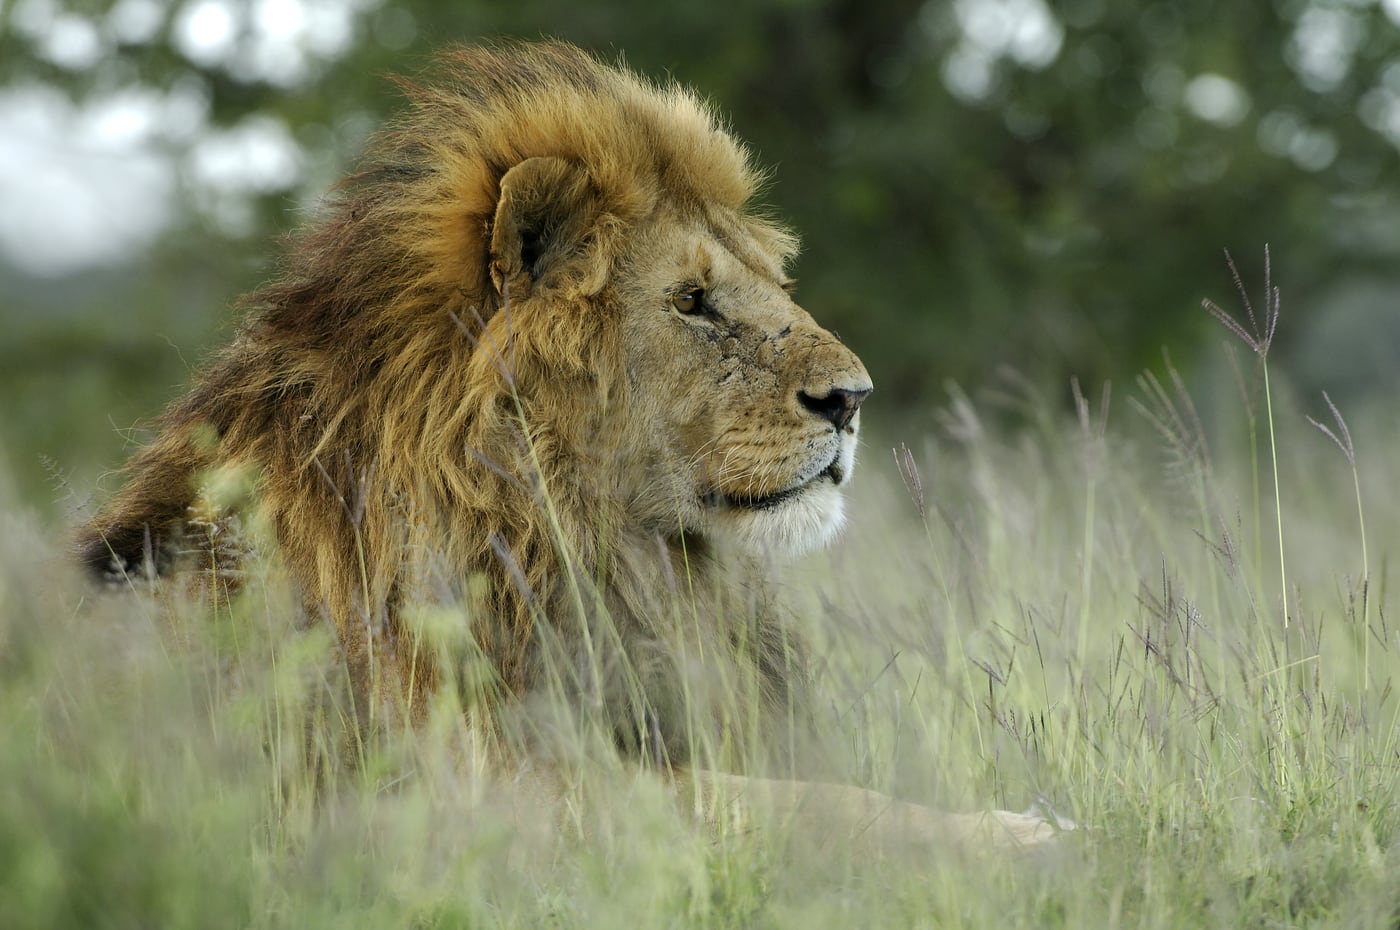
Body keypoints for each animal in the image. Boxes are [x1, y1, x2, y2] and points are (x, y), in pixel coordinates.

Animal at [77, 41, 1058, 850]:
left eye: (773, 284)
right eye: (692, 301)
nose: (853, 400)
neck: (584, 543)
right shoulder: (493, 782)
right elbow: (806, 805)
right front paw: (1025, 835)